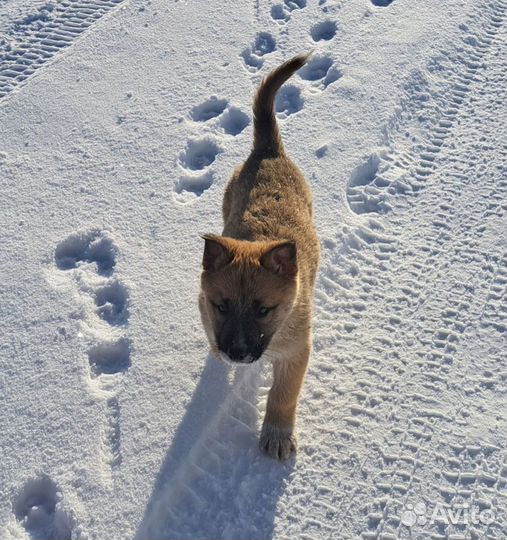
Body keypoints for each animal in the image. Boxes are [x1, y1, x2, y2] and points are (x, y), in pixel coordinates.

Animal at [200, 53, 320, 460]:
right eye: (222, 306)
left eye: (263, 309)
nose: (236, 354)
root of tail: (268, 150)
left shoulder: (297, 350)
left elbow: (283, 395)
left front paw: (277, 435)